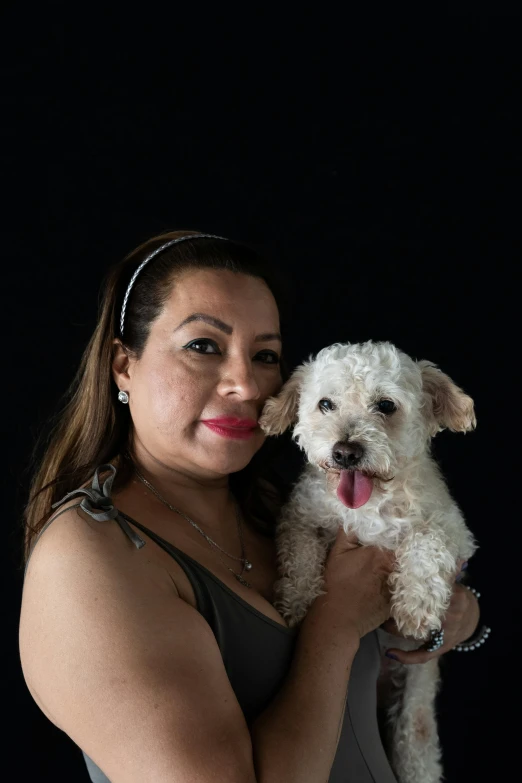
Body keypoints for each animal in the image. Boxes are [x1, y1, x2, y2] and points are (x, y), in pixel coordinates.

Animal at [260, 342, 476, 783]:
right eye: (325, 404)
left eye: (386, 405)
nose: (346, 451)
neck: (369, 503)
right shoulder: (300, 517)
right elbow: (300, 554)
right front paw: (296, 602)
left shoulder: (454, 530)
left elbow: (426, 543)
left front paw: (415, 606)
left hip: (415, 714)